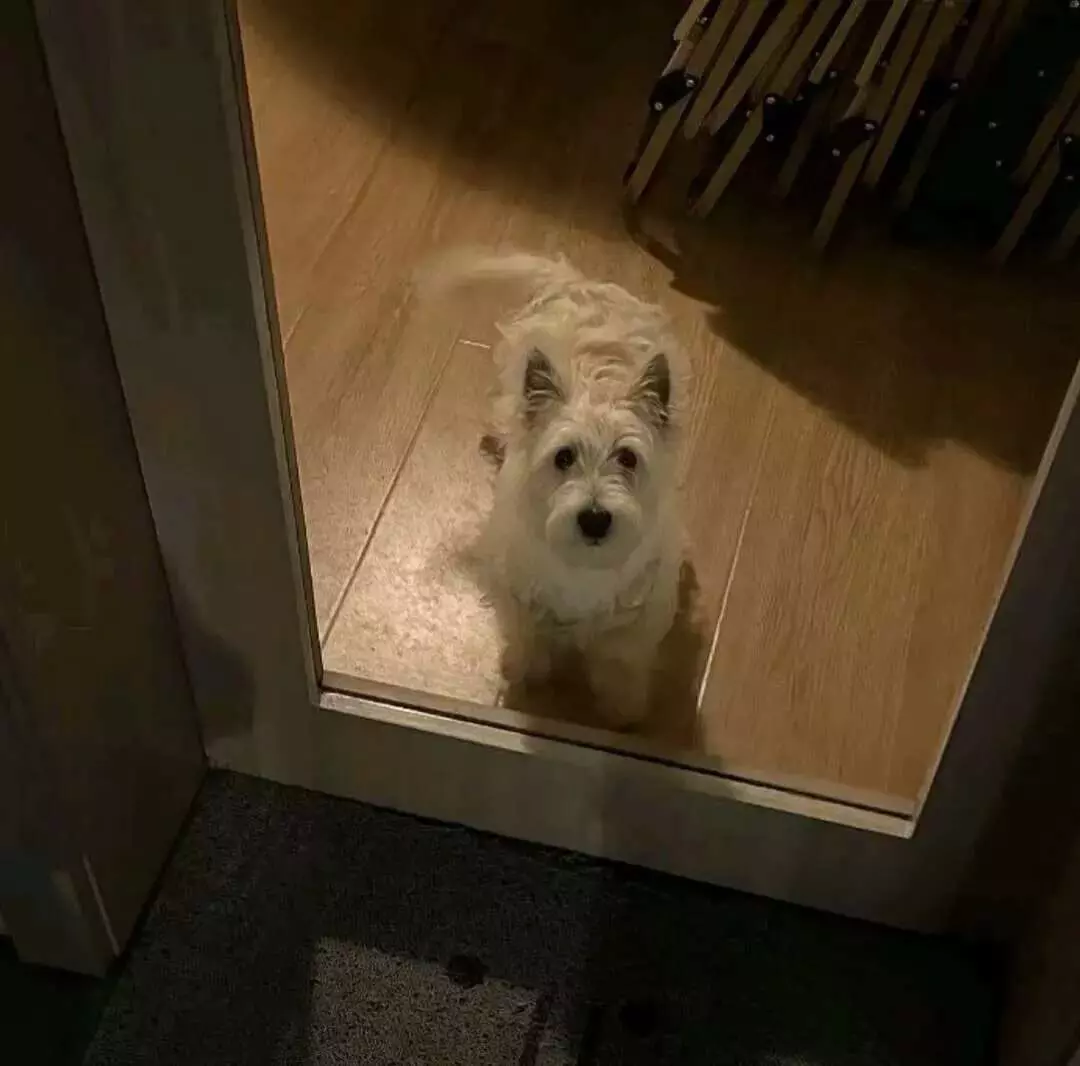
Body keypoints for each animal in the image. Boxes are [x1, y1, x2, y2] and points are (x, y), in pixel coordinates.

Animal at [418, 250, 688, 727]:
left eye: (628, 458)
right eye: (563, 457)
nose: (595, 519)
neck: (585, 568)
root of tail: (579, 283)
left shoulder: (634, 623)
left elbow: (621, 663)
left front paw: (623, 710)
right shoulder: (520, 597)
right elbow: (528, 639)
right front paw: (522, 673)